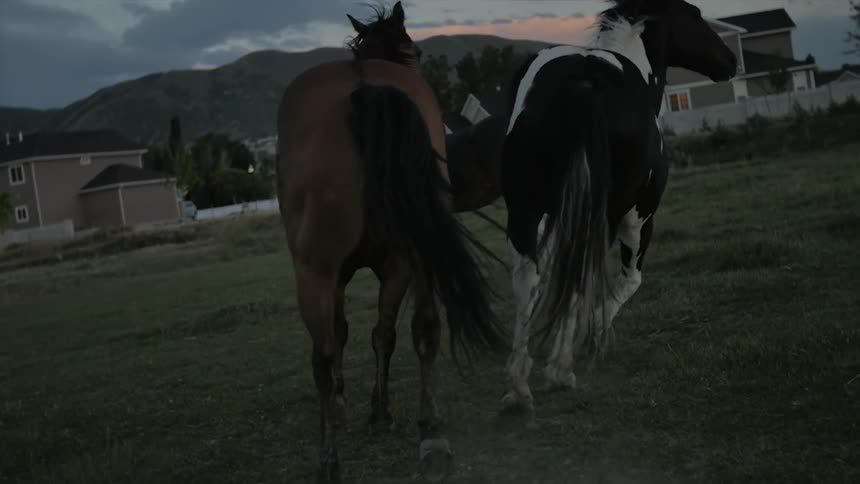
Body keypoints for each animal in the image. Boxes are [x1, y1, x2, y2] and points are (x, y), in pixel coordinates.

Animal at [275, 2, 505, 481]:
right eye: (416, 52)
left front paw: (350, 406)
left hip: (317, 270)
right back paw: (433, 436)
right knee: (425, 329)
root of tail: (363, 88)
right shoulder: (396, 264)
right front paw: (375, 411)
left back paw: (330, 459)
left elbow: (348, 334)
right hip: (416, 252)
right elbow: (385, 333)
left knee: (323, 355)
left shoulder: (341, 275)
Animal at [499, 0, 738, 422]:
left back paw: (519, 389)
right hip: (606, 216)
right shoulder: (638, 218)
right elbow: (630, 280)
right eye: (694, 14)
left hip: (527, 211)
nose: (730, 61)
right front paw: (592, 333)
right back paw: (560, 370)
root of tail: (584, 86)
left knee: (529, 278)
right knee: (581, 271)